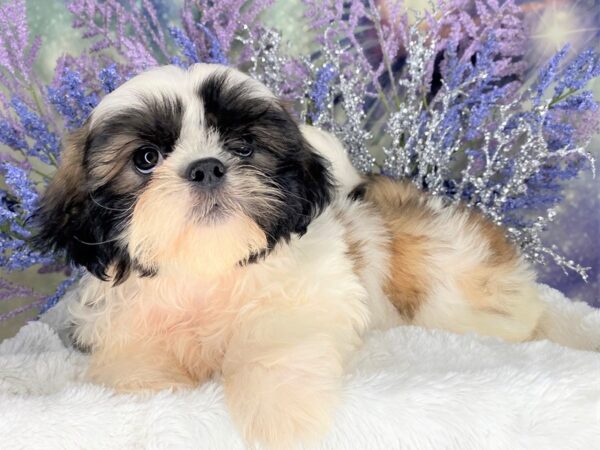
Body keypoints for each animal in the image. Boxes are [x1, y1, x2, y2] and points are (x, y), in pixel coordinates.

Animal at [34, 64, 544, 450]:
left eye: (243, 146)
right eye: (146, 158)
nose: (207, 167)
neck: (210, 268)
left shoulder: (313, 296)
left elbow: (275, 342)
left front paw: (281, 419)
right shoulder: (124, 320)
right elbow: (134, 359)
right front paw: (150, 392)